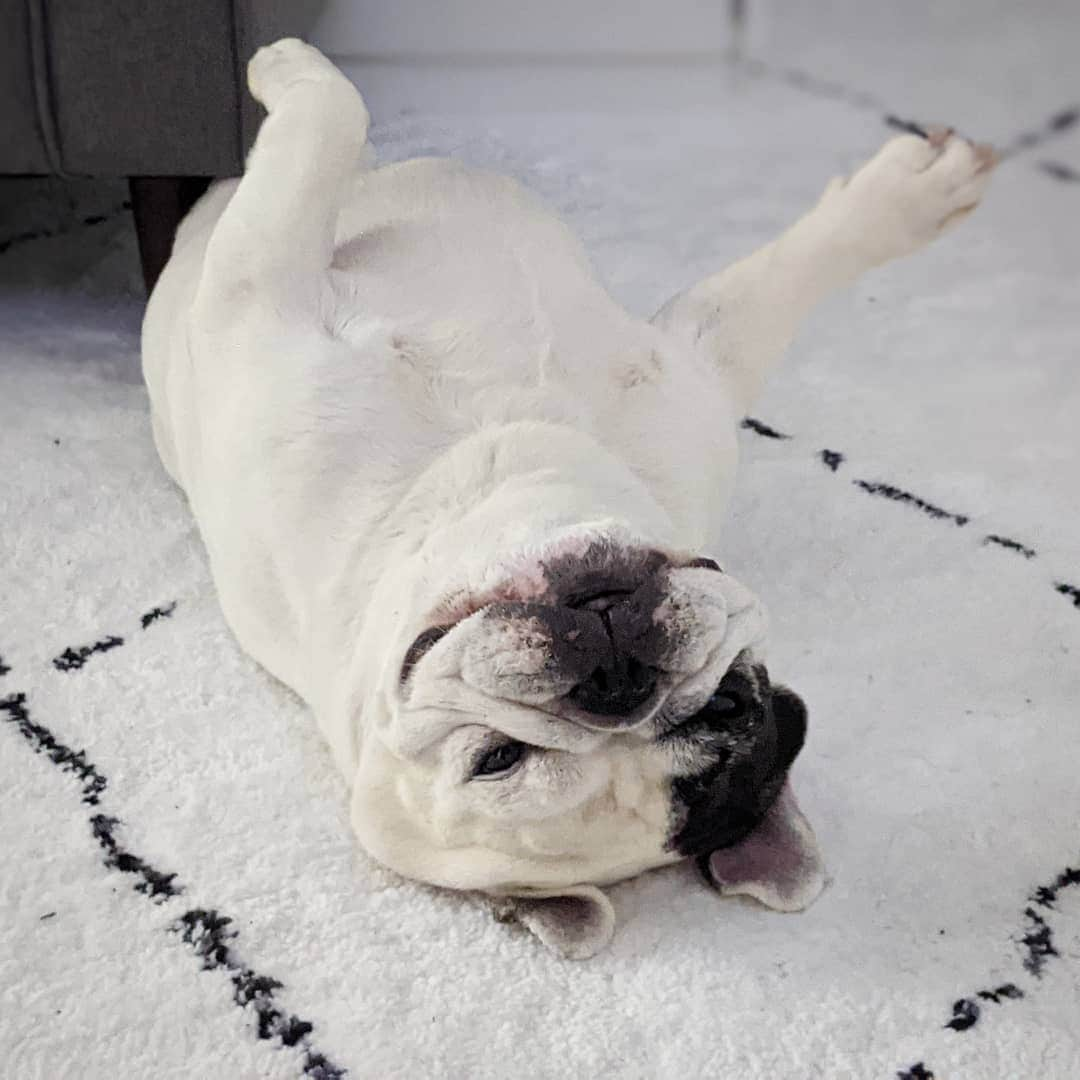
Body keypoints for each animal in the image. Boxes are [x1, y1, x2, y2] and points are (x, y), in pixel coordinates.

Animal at [141, 39, 993, 963]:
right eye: (494, 760)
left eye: (728, 706)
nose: (615, 675)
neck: (483, 473)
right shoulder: (259, 293)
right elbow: (328, 119)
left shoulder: (691, 372)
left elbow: (776, 280)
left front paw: (912, 191)